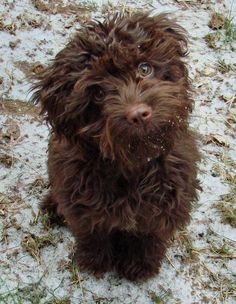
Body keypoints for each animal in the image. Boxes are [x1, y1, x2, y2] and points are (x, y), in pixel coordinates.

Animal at [31, 13, 200, 282]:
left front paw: (141, 266)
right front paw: (95, 262)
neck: (133, 165)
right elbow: (93, 234)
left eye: (144, 68)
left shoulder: (168, 203)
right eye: (98, 93)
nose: (139, 114)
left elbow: (149, 237)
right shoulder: (81, 201)